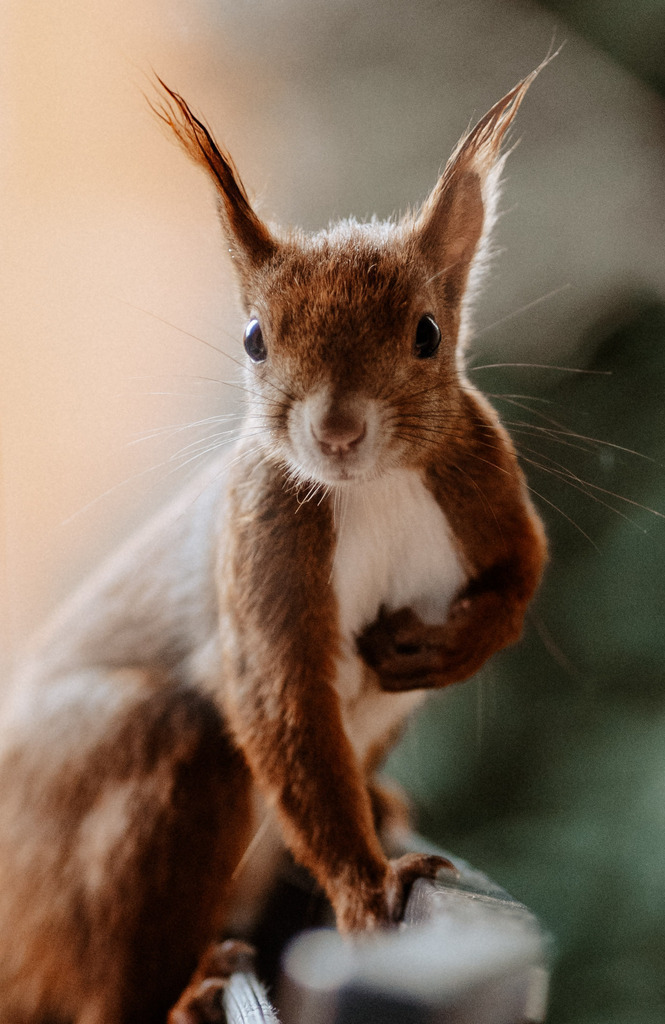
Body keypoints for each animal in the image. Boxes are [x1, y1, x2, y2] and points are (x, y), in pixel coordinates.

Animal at [0, 67, 547, 1024]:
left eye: (427, 333)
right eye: (255, 338)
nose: (334, 431)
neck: (370, 487)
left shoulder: (484, 482)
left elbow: (521, 574)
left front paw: (445, 648)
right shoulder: (263, 536)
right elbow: (281, 706)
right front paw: (367, 890)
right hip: (127, 788)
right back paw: (191, 989)